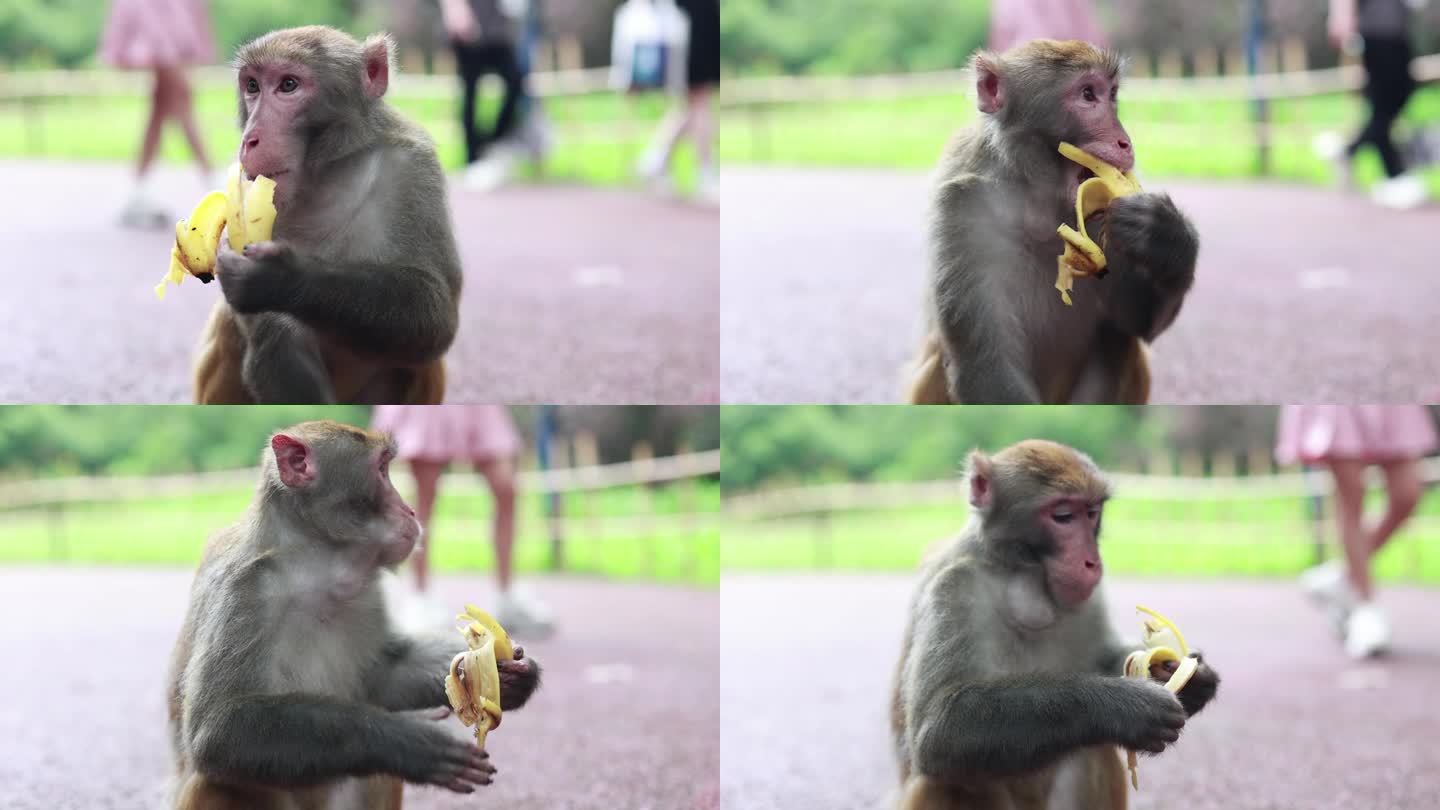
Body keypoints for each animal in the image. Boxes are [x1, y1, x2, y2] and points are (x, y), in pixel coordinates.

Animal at [167, 417, 541, 801]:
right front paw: (410, 742)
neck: (315, 571)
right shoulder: (244, 591)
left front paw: (511, 676)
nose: (410, 510)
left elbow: (384, 674)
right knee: (218, 778)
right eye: (381, 470)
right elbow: (218, 730)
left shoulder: (365, 592)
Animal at [192, 25, 460, 403]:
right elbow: (273, 332)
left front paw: (279, 278)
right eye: (253, 86)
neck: (324, 174)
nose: (250, 140)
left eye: (288, 85)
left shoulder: (414, 166)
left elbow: (435, 310)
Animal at [892, 441, 1221, 807]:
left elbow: (1104, 657)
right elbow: (938, 730)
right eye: (1063, 516)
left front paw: (1187, 679)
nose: (1092, 562)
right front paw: (1126, 708)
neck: (1024, 580)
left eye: (1091, 512)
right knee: (946, 781)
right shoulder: (953, 586)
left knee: (1093, 749)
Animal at [904, 40, 1198, 400]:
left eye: (1112, 93)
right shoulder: (961, 206)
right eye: (1088, 94)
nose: (1126, 143)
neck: (1039, 205)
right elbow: (986, 365)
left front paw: (1165, 234)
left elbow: (1137, 320)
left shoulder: (1103, 217)